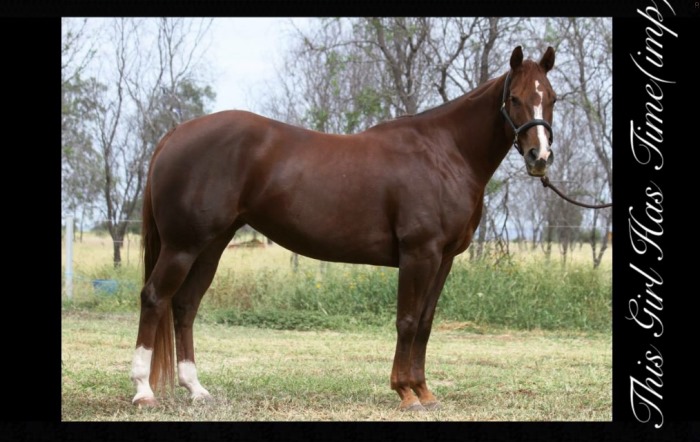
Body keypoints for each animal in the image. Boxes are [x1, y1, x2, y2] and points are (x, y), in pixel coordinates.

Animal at [130, 45, 557, 411]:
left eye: (551, 98)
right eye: (514, 98)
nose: (540, 157)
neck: (444, 153)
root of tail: (176, 134)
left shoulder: (444, 258)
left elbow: (424, 323)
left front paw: (423, 390)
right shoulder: (419, 253)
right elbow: (406, 321)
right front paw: (405, 392)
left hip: (211, 245)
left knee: (185, 305)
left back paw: (196, 389)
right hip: (183, 245)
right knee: (154, 298)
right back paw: (143, 390)